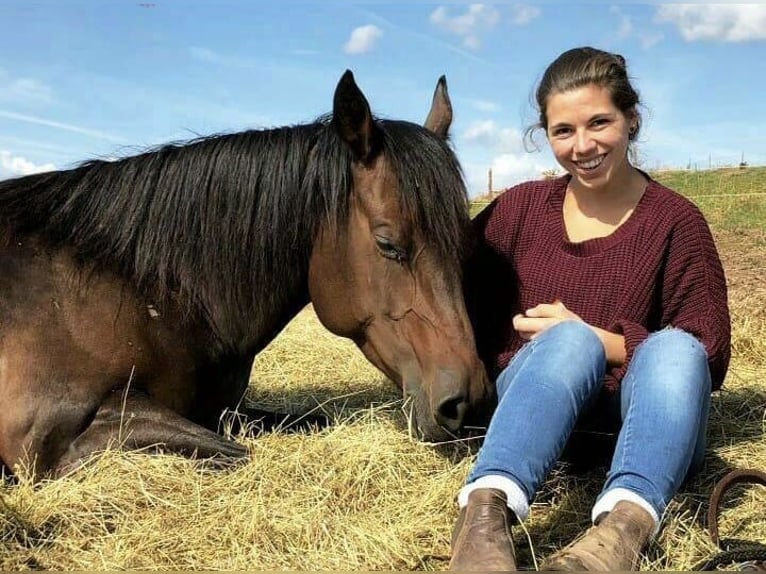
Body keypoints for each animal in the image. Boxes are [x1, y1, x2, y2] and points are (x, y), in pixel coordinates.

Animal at [0, 70, 492, 480]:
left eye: (466, 246)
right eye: (388, 244)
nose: (469, 403)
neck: (143, 292)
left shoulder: (225, 410)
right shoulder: (48, 440)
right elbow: (236, 453)